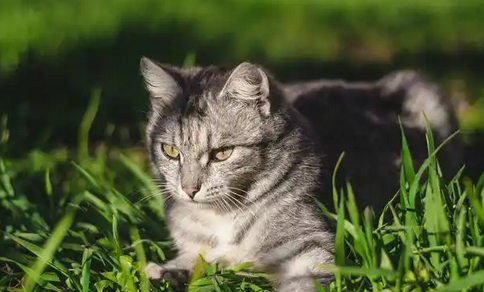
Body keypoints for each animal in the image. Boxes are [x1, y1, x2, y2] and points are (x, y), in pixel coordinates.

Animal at [140, 57, 334, 292]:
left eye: (222, 153)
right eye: (170, 151)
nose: (189, 190)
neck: (220, 216)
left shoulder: (308, 249)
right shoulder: (197, 249)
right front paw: (163, 273)